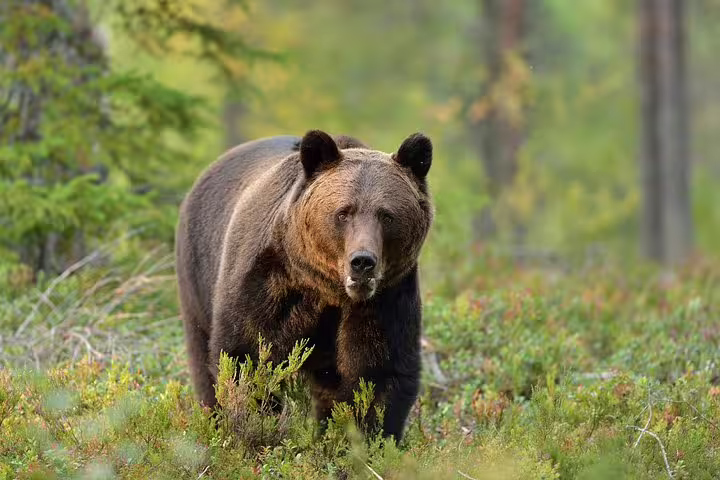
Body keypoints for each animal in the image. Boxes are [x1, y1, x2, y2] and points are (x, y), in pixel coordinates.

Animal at [175, 130, 433, 442]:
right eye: (343, 213)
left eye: (387, 215)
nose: (362, 262)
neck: (329, 291)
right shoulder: (270, 285)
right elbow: (246, 357)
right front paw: (254, 427)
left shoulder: (386, 299)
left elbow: (377, 373)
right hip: (197, 275)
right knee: (202, 357)